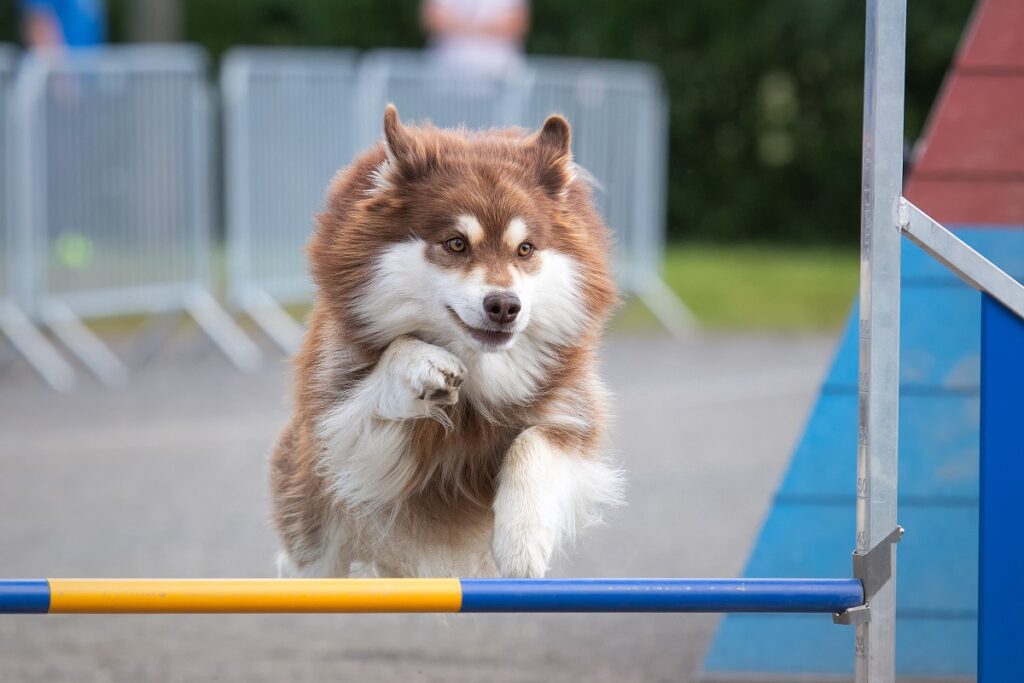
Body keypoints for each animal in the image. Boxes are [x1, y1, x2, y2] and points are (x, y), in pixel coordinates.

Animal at [268, 104, 618, 581]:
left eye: (525, 249)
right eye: (456, 244)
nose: (504, 306)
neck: (481, 373)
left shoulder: (572, 409)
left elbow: (534, 444)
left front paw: (522, 540)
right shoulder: (339, 431)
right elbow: (381, 380)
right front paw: (423, 365)